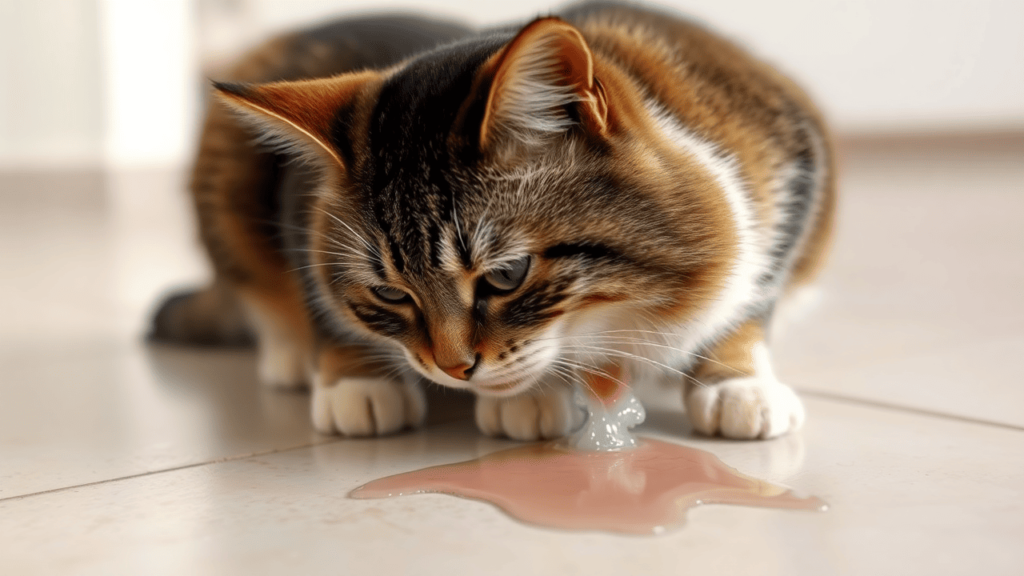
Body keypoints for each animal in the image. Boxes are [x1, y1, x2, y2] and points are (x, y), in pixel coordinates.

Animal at [155, 2, 835, 438]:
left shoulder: (798, 164)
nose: (451, 370)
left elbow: (752, 295)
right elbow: (325, 303)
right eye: (388, 293)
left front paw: (736, 383)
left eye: (506, 276)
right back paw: (292, 355)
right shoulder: (302, 210)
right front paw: (358, 382)